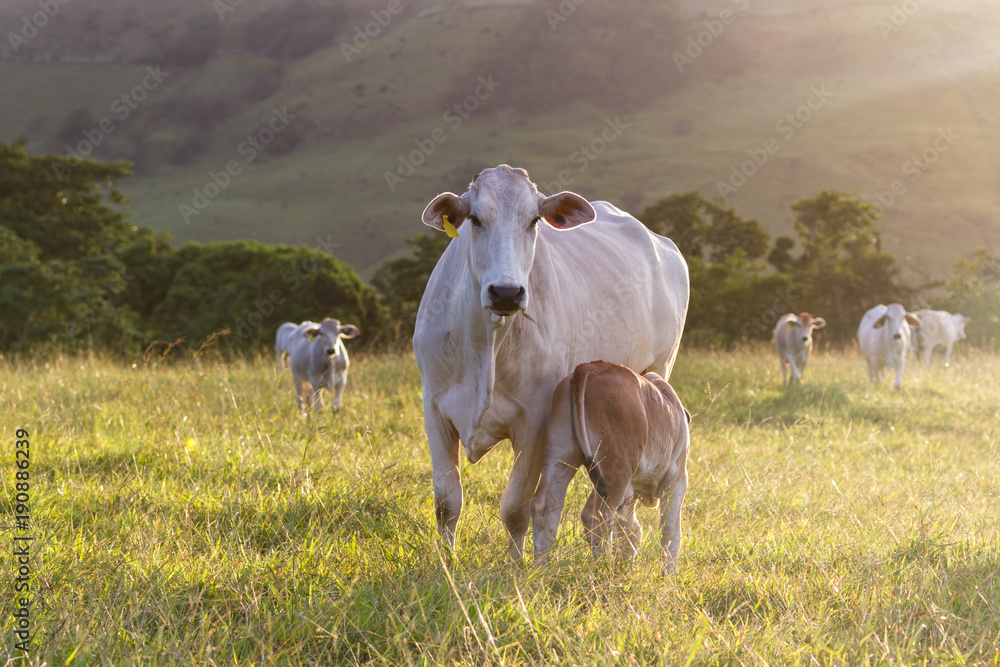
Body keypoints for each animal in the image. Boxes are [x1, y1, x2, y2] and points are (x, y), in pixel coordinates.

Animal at [532, 361, 690, 573]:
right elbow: (671, 533)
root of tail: (589, 368)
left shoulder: (628, 493)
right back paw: (603, 570)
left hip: (561, 460)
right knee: (597, 517)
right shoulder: (677, 480)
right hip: (616, 472)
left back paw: (540, 570)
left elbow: (632, 531)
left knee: (545, 510)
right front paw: (669, 575)